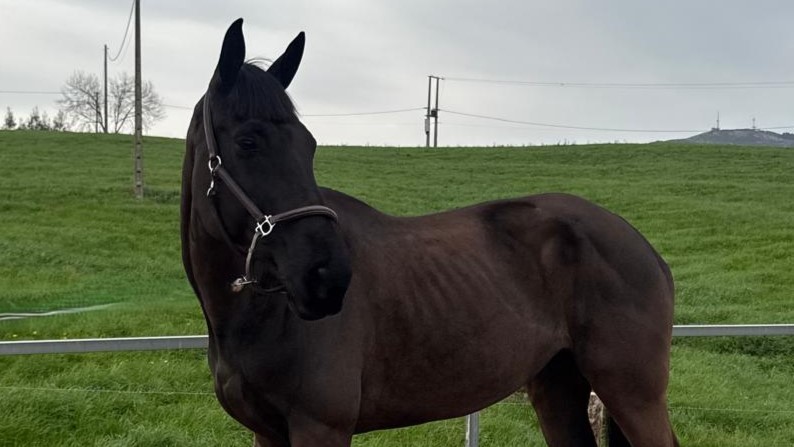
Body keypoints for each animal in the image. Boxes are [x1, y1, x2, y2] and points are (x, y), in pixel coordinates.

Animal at [181, 18, 679, 447]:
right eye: (248, 141)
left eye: (310, 144)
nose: (328, 278)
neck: (257, 314)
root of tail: (644, 248)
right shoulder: (266, 432)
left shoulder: (320, 428)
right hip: (557, 388)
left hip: (632, 393)